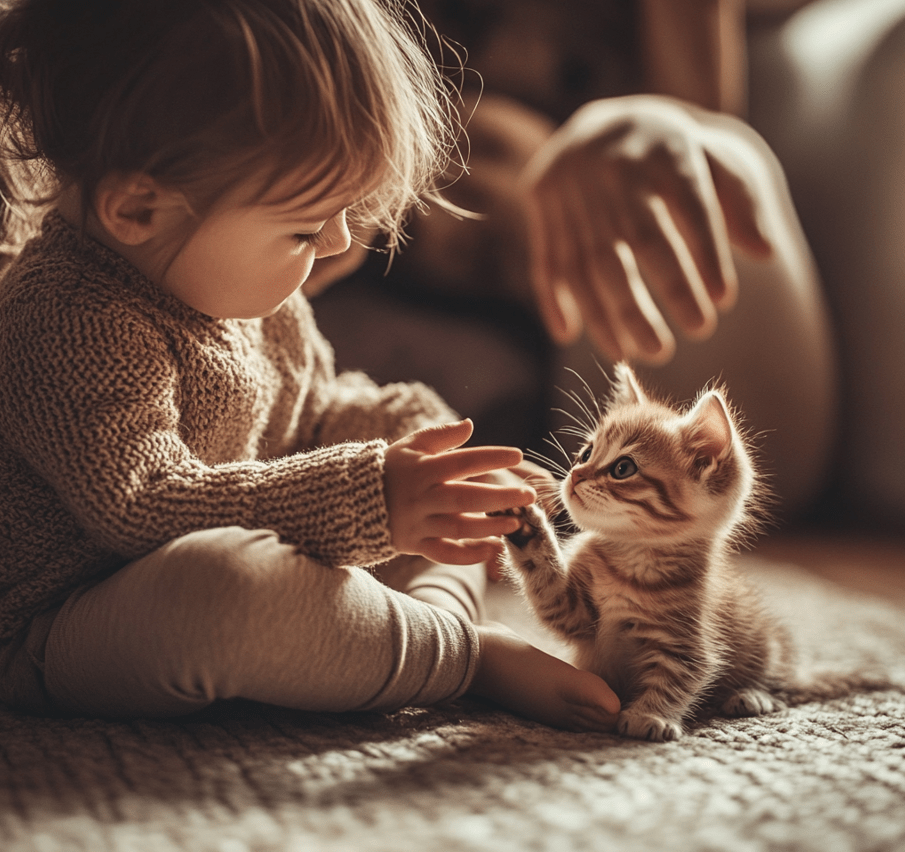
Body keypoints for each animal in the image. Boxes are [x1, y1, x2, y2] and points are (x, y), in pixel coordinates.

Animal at [494, 362, 792, 744]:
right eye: (586, 453)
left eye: (623, 468)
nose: (575, 474)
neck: (629, 560)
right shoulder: (575, 613)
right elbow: (547, 584)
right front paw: (525, 526)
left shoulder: (687, 639)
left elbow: (680, 674)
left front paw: (649, 715)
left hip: (761, 642)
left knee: (781, 681)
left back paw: (752, 694)